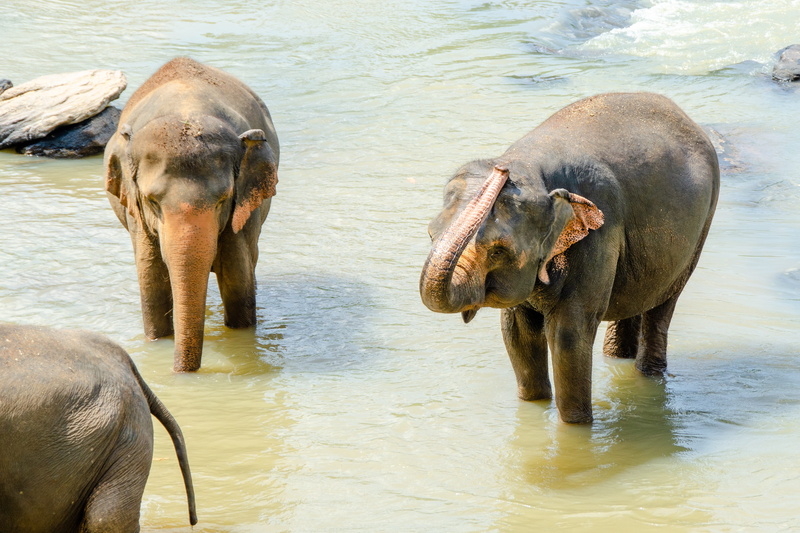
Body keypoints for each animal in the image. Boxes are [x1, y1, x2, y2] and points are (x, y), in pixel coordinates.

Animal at [104, 57, 279, 372]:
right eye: (152, 202)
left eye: (222, 201)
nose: (179, 373)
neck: (186, 108)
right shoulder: (136, 215)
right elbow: (151, 283)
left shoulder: (241, 216)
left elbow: (238, 282)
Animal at [420, 92, 719, 424]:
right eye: (431, 235)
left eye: (498, 250)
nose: (500, 170)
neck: (530, 166)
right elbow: (517, 334)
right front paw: (534, 404)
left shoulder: (600, 234)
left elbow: (569, 336)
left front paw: (576, 425)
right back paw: (617, 358)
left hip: (701, 227)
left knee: (662, 305)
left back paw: (648, 374)